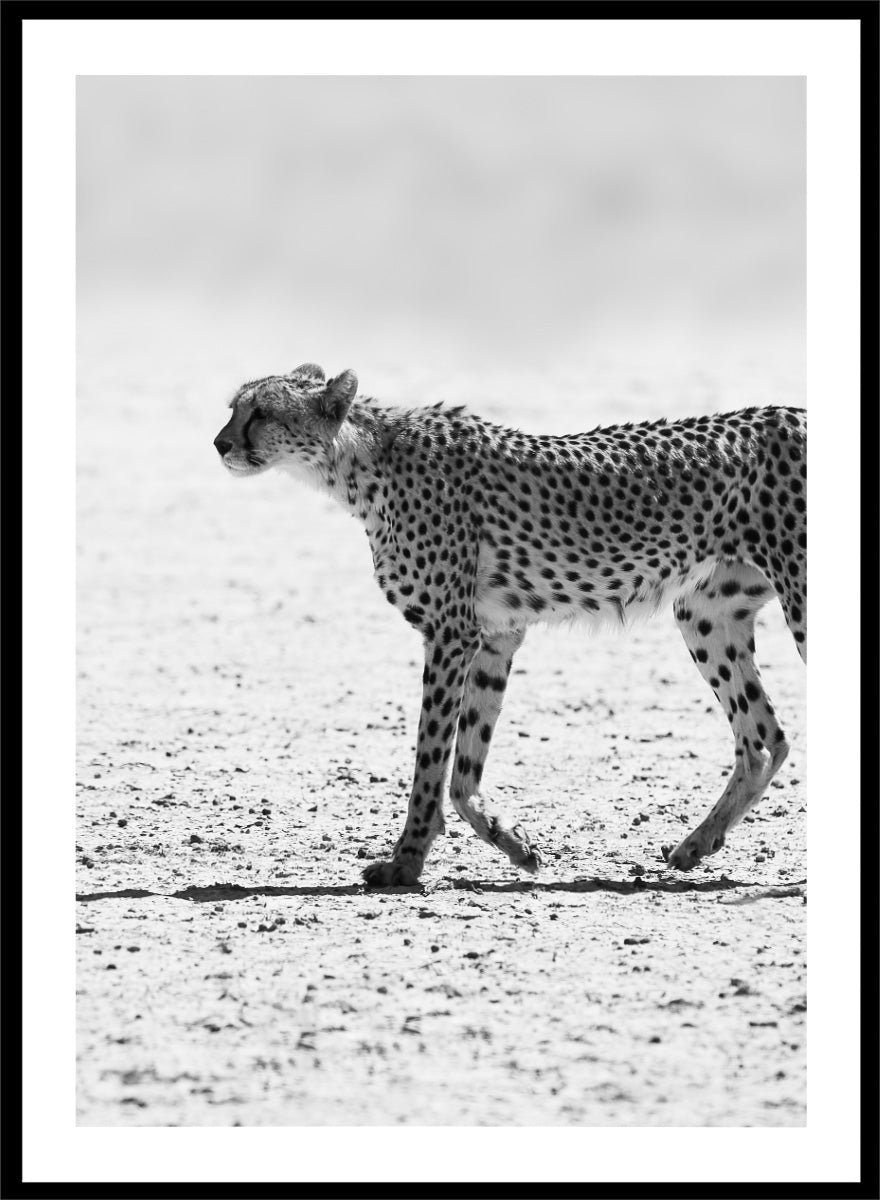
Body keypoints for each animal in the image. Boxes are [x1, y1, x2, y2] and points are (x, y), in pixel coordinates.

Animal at [214, 362, 806, 887]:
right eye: (233, 408)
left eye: (261, 412)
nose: (219, 444)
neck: (360, 460)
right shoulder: (495, 635)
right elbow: (464, 767)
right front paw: (513, 843)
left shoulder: (450, 633)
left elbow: (430, 759)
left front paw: (405, 864)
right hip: (705, 614)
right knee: (763, 738)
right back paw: (696, 845)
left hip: (797, 601)